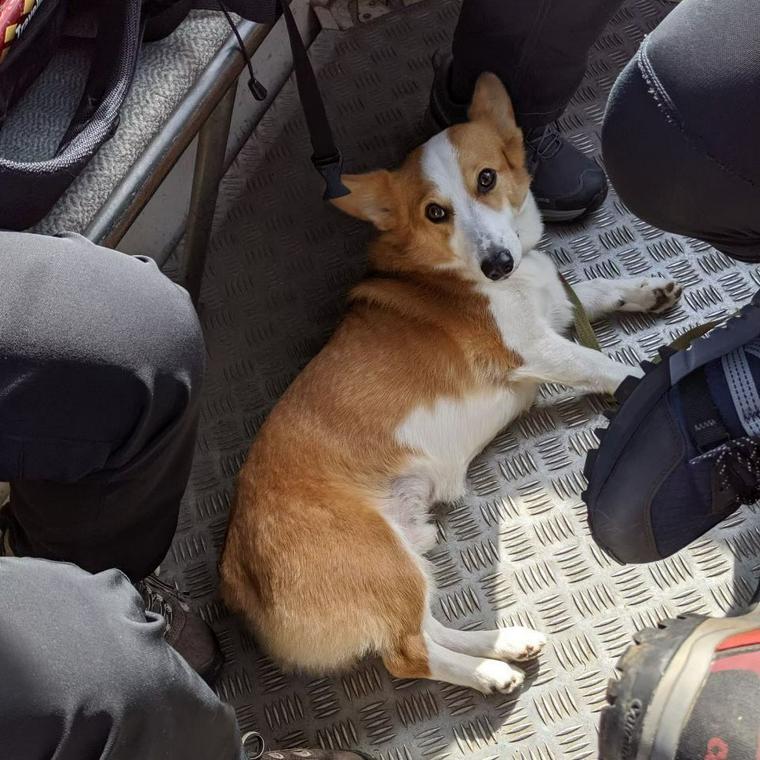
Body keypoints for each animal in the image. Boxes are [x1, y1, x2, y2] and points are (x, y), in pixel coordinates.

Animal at [220, 72, 684, 696]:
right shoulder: (532, 349)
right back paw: (490, 672)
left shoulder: (554, 309)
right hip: (381, 560)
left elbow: (596, 291)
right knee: (406, 653)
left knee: (424, 628)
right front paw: (660, 377)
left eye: (486, 179)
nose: (497, 265)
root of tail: (234, 575)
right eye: (435, 212)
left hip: (406, 560)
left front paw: (645, 291)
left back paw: (505, 643)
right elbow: (609, 367)